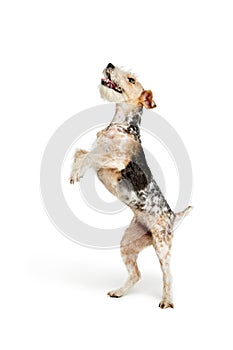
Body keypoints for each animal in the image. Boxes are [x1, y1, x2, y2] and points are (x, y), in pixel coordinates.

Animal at [69, 63, 193, 308]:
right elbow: (81, 152)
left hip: (162, 245)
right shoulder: (99, 153)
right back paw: (118, 292)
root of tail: (174, 216)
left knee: (168, 275)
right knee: (136, 274)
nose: (109, 64)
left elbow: (90, 155)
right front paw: (74, 172)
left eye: (132, 79)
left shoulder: (113, 160)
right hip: (128, 243)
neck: (123, 125)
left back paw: (166, 301)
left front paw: (77, 172)